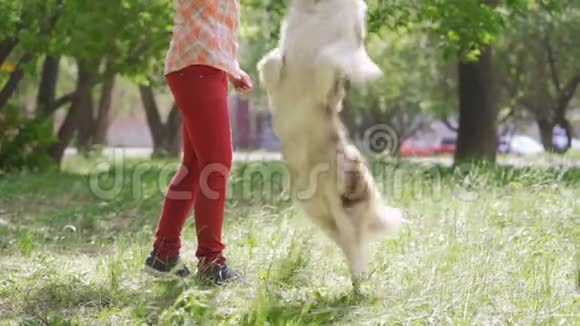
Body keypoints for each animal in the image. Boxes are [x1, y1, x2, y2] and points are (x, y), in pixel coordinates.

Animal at [258, 0, 404, 290]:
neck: (317, 7)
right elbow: (273, 60)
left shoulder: (345, 52)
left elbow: (326, 58)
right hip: (318, 213)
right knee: (348, 245)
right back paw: (356, 285)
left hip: (345, 197)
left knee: (356, 247)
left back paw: (360, 287)